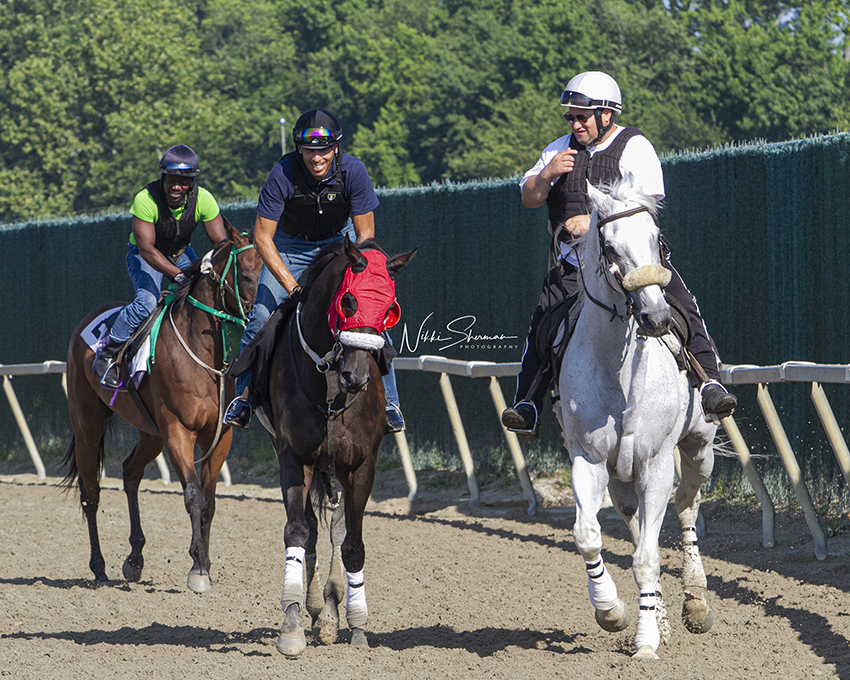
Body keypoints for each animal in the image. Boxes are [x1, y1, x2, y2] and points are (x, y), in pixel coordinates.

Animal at [60, 220, 260, 592]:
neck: (202, 354)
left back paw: (135, 558)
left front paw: (205, 564)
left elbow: (209, 501)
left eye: (267, 268)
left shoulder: (219, 435)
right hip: (87, 424)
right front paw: (197, 569)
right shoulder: (178, 431)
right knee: (90, 493)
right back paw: (98, 567)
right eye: (246, 273)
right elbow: (193, 495)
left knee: (129, 472)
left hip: (150, 432)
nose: (258, 318)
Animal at [556, 177, 716, 660]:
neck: (619, 370)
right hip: (622, 479)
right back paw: (660, 614)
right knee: (638, 522)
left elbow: (648, 556)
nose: (657, 317)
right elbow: (588, 535)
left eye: (657, 239)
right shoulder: (588, 461)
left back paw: (696, 601)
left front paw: (646, 644)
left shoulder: (657, 462)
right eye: (608, 245)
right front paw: (612, 611)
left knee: (685, 507)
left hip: (699, 448)